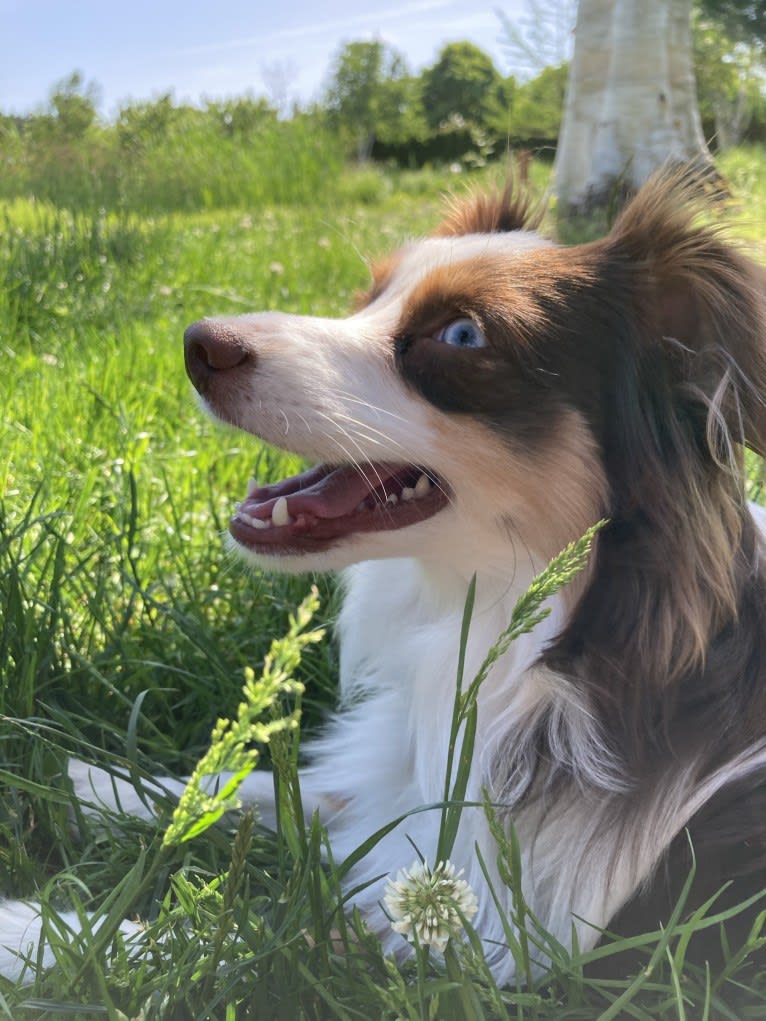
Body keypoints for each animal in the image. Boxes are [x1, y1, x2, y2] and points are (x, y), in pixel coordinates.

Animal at [4, 177, 766, 988]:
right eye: (369, 297)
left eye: (461, 336)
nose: (198, 343)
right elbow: (276, 788)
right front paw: (87, 781)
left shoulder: (510, 946)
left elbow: (239, 940)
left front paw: (33, 931)